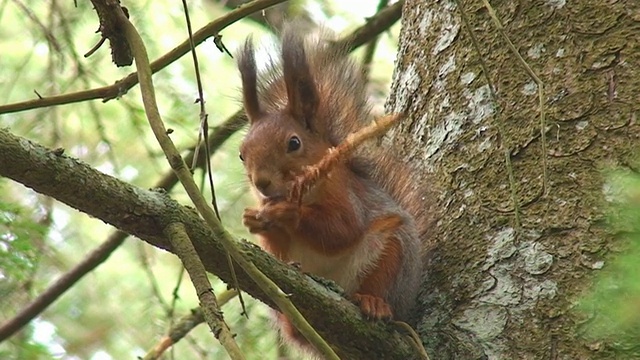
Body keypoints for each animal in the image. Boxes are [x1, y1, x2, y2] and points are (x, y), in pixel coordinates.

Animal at [236, 23, 430, 344]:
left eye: (294, 143)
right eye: (242, 154)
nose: (261, 183)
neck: (304, 192)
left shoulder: (347, 194)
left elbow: (342, 229)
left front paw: (287, 213)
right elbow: (277, 251)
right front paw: (254, 220)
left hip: (392, 252)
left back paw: (374, 303)